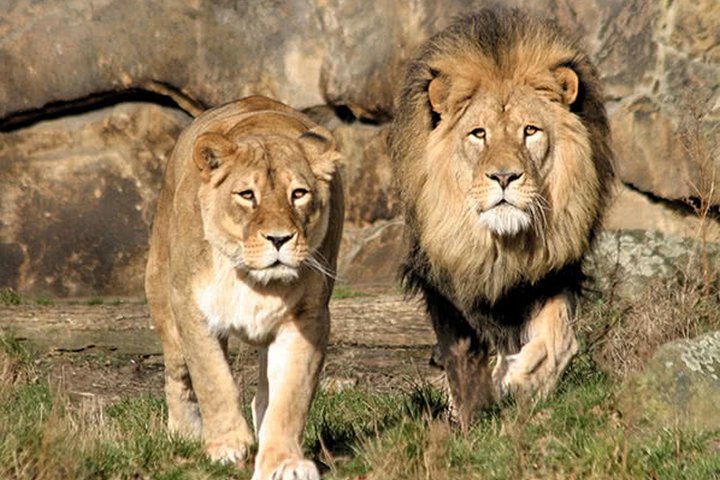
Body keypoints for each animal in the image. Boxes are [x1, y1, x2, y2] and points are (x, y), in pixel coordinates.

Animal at [145, 95, 343, 480]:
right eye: (247, 195)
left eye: (298, 194)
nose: (279, 239)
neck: (253, 279)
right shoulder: (191, 308)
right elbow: (213, 379)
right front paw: (228, 446)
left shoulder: (309, 318)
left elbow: (290, 397)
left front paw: (283, 462)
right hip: (162, 297)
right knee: (177, 375)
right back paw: (184, 434)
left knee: (264, 393)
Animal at [389, 8, 615, 429]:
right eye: (479, 134)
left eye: (530, 131)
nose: (505, 176)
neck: (502, 244)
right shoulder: (445, 282)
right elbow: (463, 355)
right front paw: (472, 414)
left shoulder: (553, 270)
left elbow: (558, 339)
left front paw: (522, 379)